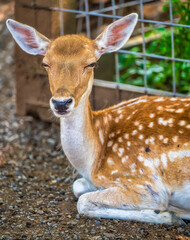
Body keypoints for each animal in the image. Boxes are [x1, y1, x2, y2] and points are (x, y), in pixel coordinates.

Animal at [6, 13, 190, 224]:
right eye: (45, 63)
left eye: (91, 63)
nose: (61, 103)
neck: (93, 163)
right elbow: (77, 186)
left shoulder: (143, 183)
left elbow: (83, 201)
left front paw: (169, 214)